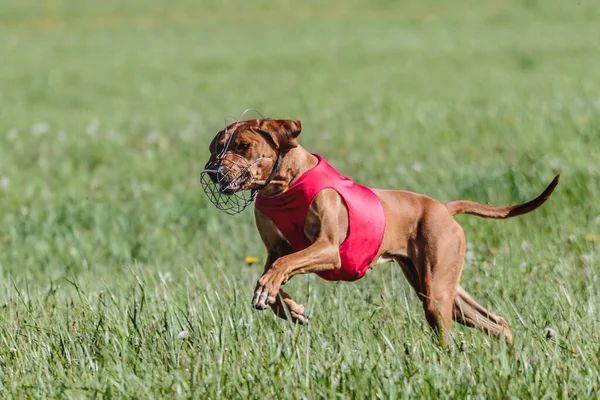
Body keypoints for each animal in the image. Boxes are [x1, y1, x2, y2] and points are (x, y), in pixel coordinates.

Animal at [204, 117, 560, 346]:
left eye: (243, 146)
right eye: (215, 148)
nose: (212, 172)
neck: (287, 184)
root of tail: (443, 207)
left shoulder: (328, 249)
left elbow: (282, 267)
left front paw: (271, 294)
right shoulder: (275, 250)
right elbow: (273, 272)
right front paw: (289, 308)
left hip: (436, 292)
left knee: (450, 333)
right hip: (440, 285)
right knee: (497, 323)